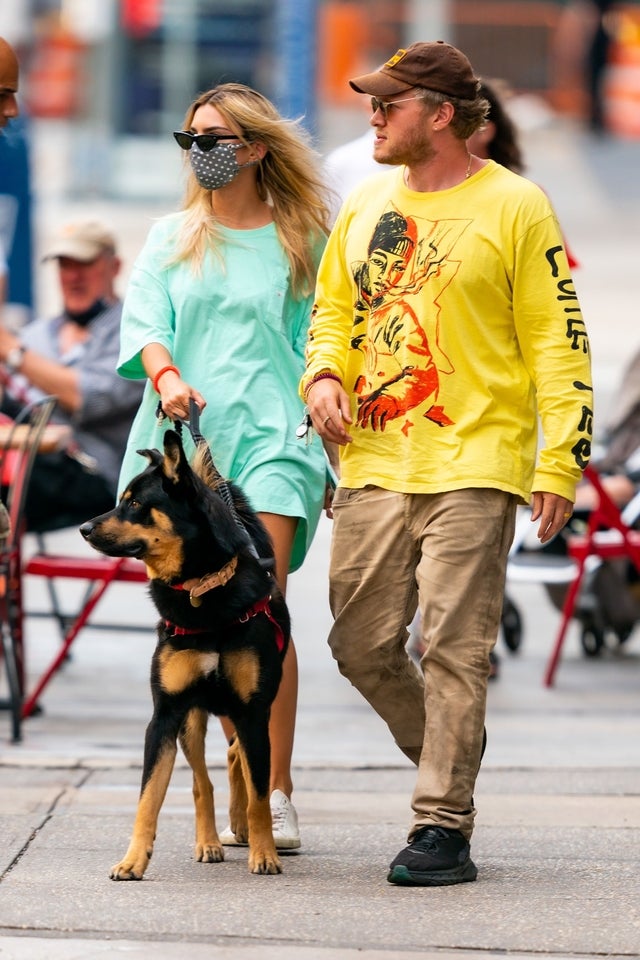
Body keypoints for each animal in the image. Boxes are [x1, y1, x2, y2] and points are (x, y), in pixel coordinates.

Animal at [79, 432, 290, 880]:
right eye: (122, 499)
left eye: (135, 504)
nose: (83, 528)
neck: (201, 589)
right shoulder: (165, 715)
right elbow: (148, 798)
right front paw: (133, 860)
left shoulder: (252, 712)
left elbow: (260, 794)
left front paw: (264, 853)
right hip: (191, 720)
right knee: (202, 782)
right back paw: (207, 841)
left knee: (237, 762)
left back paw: (242, 828)